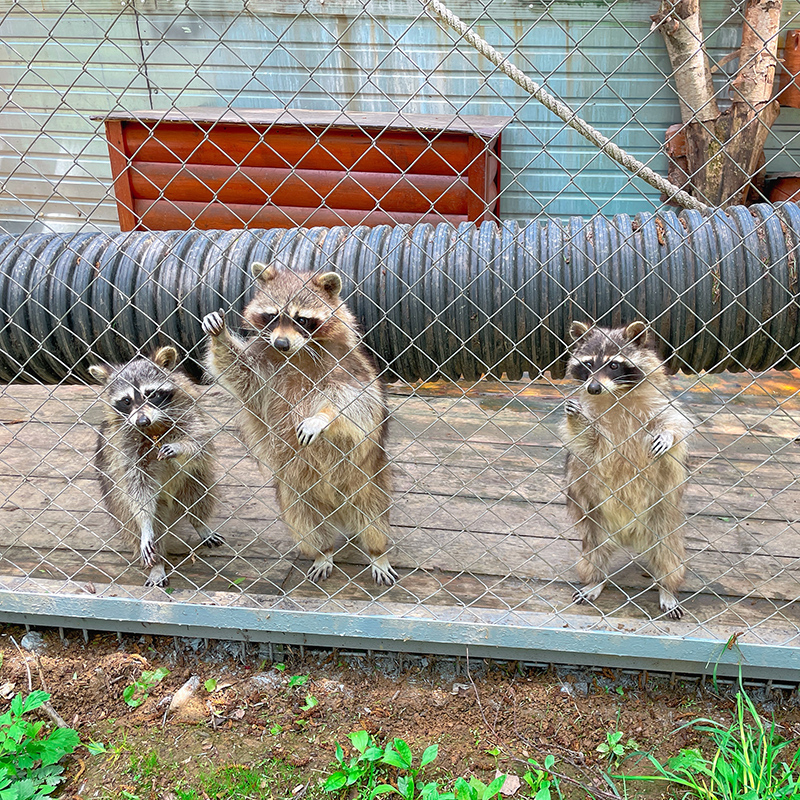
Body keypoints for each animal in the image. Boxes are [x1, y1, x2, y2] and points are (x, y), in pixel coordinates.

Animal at [90, 346, 222, 588]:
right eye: (126, 401)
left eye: (151, 394)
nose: (142, 421)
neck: (153, 428)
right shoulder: (124, 445)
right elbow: (138, 488)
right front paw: (145, 528)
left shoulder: (188, 412)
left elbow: (199, 442)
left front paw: (180, 446)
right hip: (118, 501)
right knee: (138, 521)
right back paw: (157, 564)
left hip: (194, 480)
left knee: (198, 494)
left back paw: (200, 524)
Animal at [203, 266, 396, 584]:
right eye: (271, 315)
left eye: (302, 319)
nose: (281, 343)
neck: (297, 352)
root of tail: (336, 509)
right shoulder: (264, 369)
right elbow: (239, 374)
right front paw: (220, 338)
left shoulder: (348, 365)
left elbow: (356, 400)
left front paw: (323, 417)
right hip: (292, 491)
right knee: (305, 522)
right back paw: (322, 551)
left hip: (367, 479)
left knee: (372, 516)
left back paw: (377, 553)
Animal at [560, 320, 692, 620]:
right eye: (588, 363)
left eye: (613, 365)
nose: (593, 388)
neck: (616, 395)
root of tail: (629, 535)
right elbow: (585, 443)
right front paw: (576, 418)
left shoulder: (660, 404)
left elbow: (676, 424)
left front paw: (667, 436)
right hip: (595, 523)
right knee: (593, 556)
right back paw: (596, 581)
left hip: (663, 519)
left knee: (669, 557)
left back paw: (668, 589)